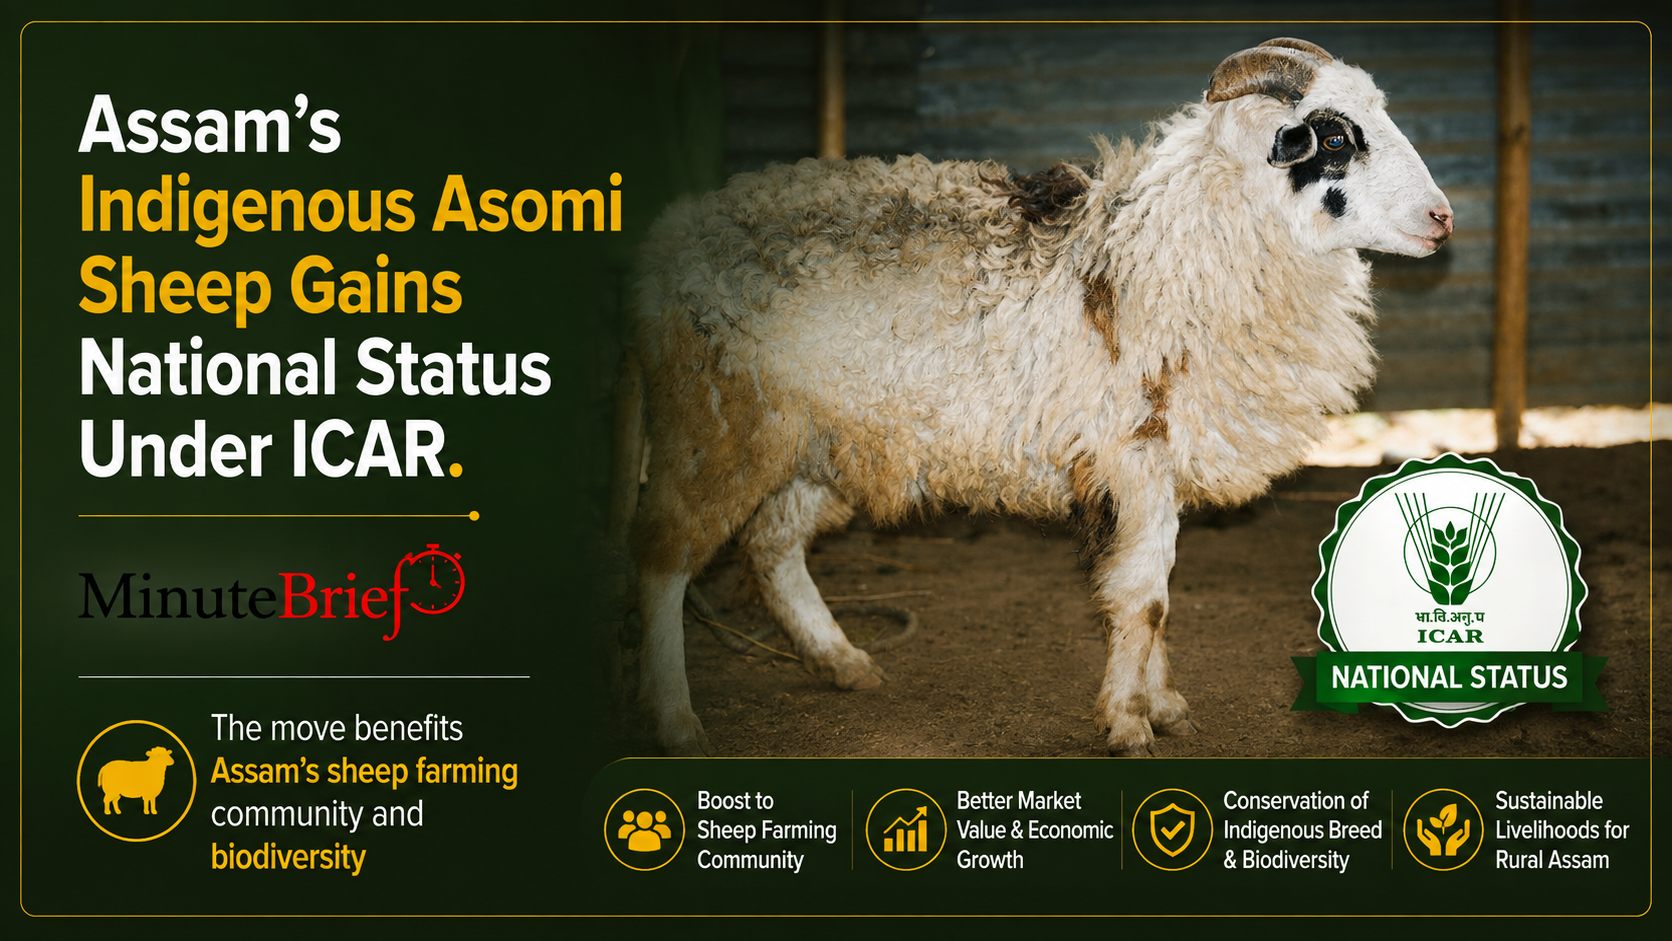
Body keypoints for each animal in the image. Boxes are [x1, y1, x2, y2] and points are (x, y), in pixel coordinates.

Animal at [630, 38, 1453, 756]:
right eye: (1333, 136)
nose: (1442, 218)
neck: (1169, 250)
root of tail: (667, 240)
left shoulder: (1153, 461)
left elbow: (1154, 591)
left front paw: (1160, 704)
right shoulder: (1132, 449)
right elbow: (1145, 594)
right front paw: (1129, 723)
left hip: (824, 438)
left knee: (771, 545)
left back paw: (843, 663)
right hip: (722, 422)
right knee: (664, 555)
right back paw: (676, 723)